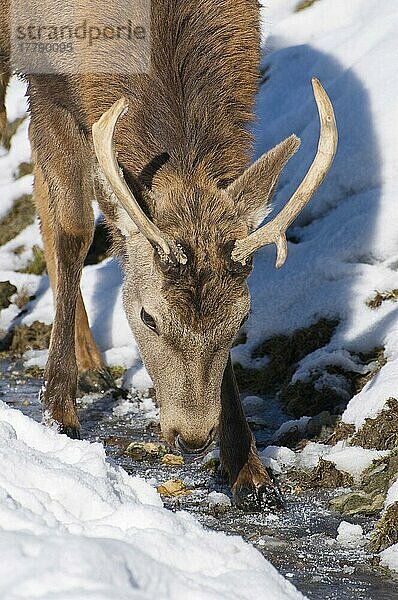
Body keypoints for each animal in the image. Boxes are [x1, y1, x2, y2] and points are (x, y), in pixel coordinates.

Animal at [0, 1, 338, 502]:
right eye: (148, 316)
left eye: (242, 319)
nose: (193, 437)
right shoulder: (49, 84)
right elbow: (74, 232)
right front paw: (59, 413)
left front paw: (249, 470)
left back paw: (94, 365)